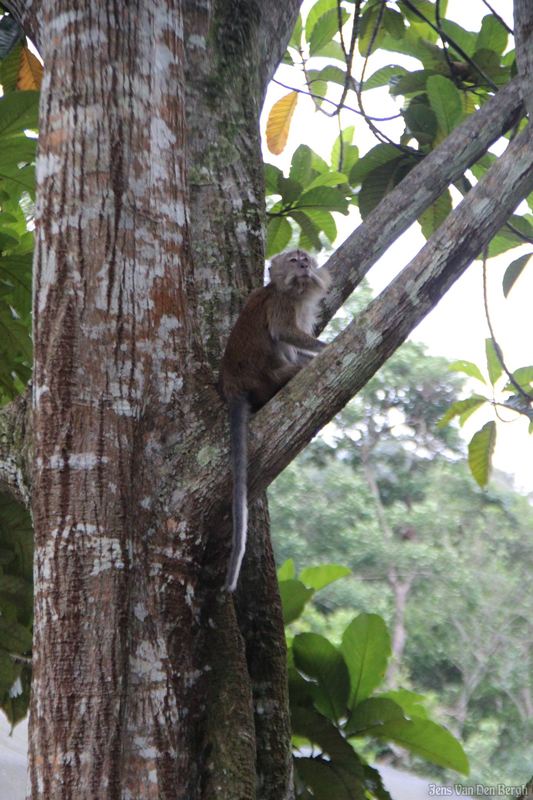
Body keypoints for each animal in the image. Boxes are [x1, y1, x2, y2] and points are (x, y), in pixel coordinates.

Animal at [218, 250, 330, 592]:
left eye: (305, 258)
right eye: (293, 259)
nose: (304, 265)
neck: (288, 289)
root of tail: (232, 384)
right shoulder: (281, 304)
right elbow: (283, 333)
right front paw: (325, 347)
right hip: (269, 379)